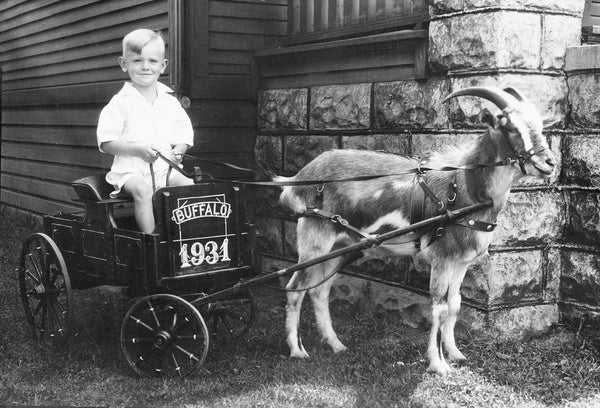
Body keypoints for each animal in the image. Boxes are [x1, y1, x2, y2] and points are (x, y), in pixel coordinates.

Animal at [276, 87, 556, 376]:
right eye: (510, 127)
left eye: (540, 126)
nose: (549, 162)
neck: (465, 187)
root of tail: (298, 179)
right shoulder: (442, 258)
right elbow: (439, 307)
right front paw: (438, 364)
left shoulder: (462, 261)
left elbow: (455, 305)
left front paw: (455, 354)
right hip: (315, 240)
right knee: (295, 288)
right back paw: (297, 350)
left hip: (340, 247)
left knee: (320, 291)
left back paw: (336, 345)